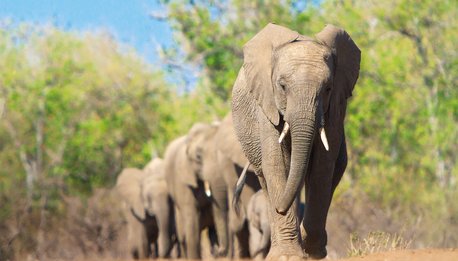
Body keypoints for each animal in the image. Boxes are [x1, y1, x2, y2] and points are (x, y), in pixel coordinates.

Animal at [233, 23, 362, 258]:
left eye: (328, 89)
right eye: (282, 86)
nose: (280, 208)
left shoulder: (336, 108)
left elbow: (322, 165)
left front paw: (312, 251)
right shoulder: (266, 104)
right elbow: (278, 164)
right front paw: (289, 256)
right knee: (266, 177)